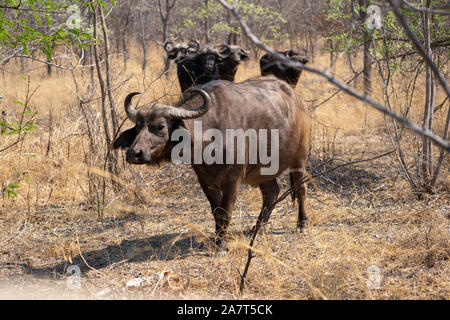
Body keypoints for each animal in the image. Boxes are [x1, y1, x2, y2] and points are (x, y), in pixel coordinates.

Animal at [112, 77, 310, 248]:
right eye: (137, 127)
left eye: (160, 126)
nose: (134, 153)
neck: (210, 136)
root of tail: (297, 101)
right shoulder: (204, 180)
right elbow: (216, 210)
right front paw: (218, 239)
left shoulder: (233, 179)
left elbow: (225, 211)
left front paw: (221, 244)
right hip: (263, 171)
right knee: (271, 193)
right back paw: (257, 228)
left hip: (299, 158)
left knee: (301, 188)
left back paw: (302, 224)